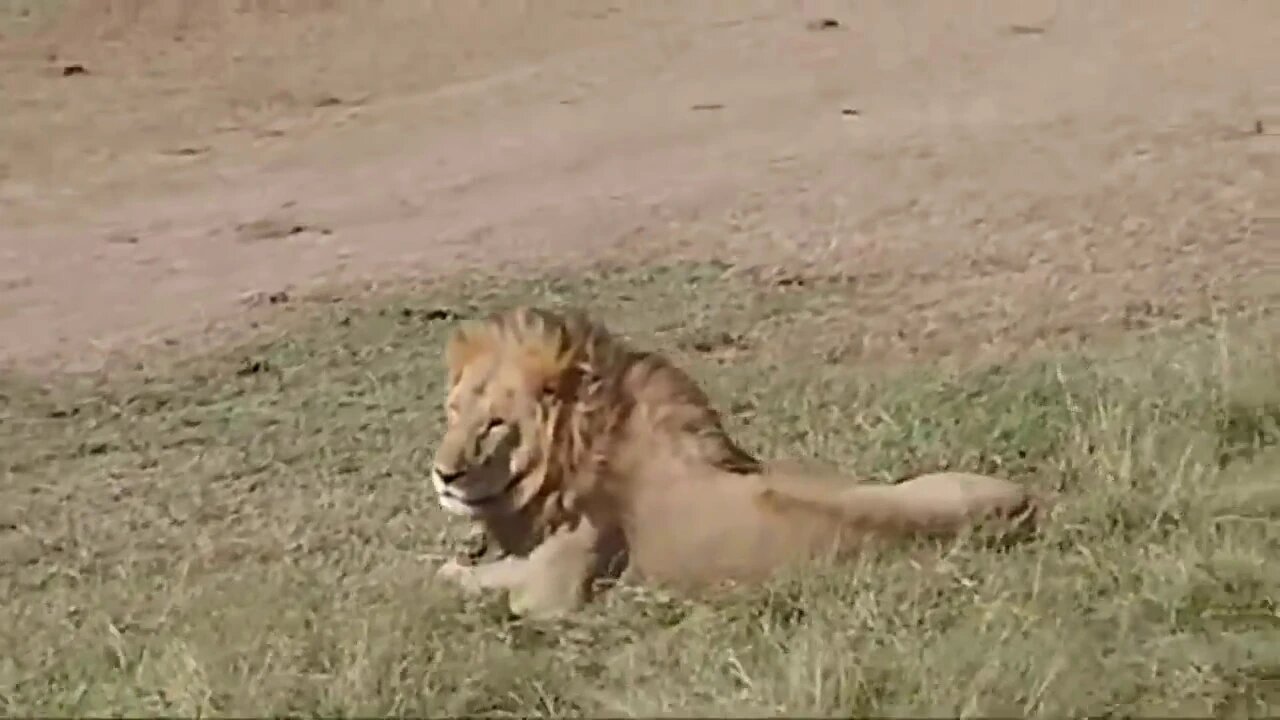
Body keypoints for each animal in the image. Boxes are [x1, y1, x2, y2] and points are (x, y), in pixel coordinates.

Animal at [430, 304, 1039, 614]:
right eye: (453, 412)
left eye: (495, 424)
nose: (443, 475)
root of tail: (1028, 507)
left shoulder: (553, 593)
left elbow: (479, 581)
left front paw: (451, 569)